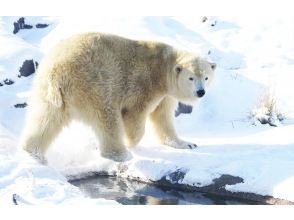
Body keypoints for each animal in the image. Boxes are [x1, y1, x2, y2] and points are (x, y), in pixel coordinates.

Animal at [19, 32, 215, 163]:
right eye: (191, 78)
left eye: (206, 77)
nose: (201, 92)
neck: (163, 65)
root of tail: (57, 71)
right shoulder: (145, 83)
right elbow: (135, 114)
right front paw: (131, 142)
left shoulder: (166, 94)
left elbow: (163, 117)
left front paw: (186, 143)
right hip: (94, 83)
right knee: (107, 116)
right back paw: (121, 153)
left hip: (47, 90)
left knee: (45, 118)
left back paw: (33, 152)